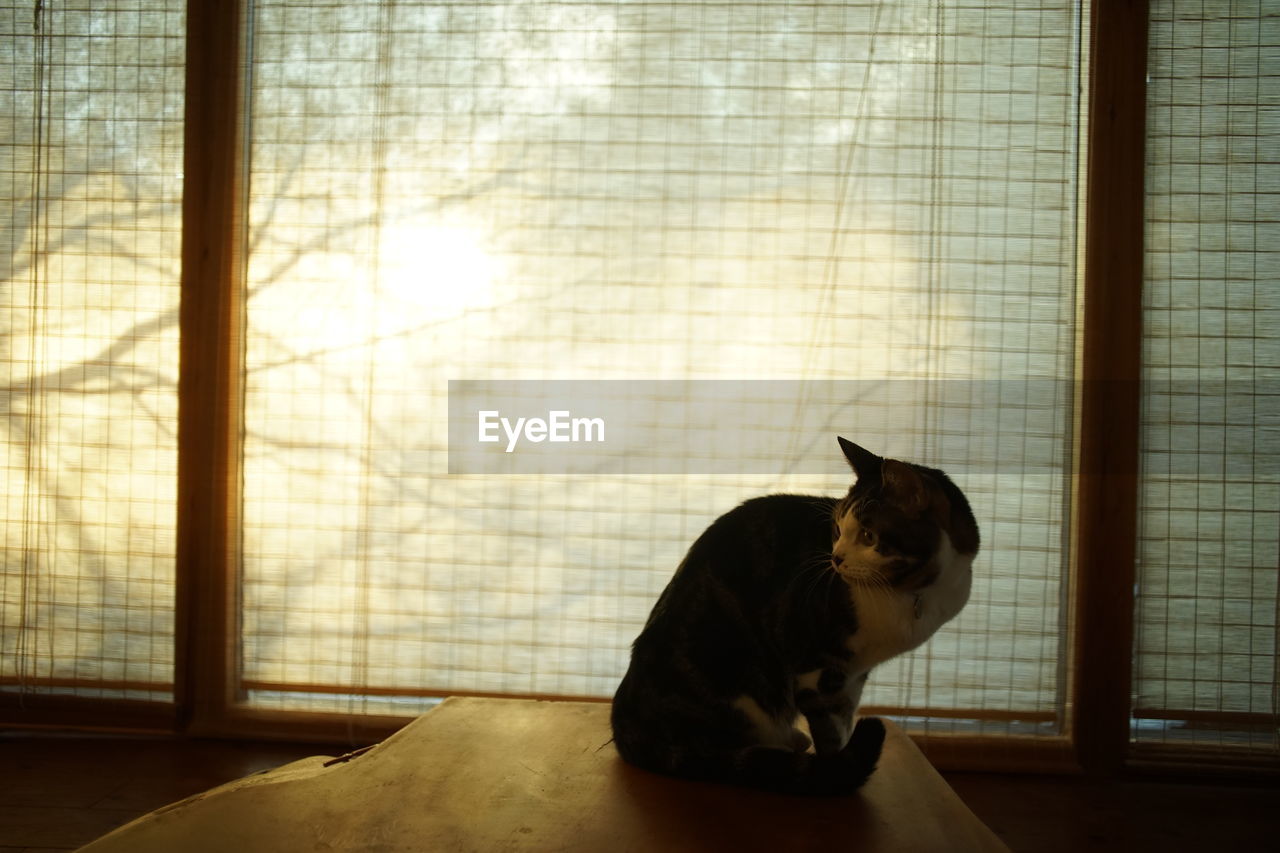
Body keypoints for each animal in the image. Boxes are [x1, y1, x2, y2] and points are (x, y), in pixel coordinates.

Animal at [609, 435, 977, 794]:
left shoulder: (854, 673)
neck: (912, 593)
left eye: (869, 536)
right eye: (837, 529)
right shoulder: (817, 667)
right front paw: (834, 769)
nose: (835, 558)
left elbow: (845, 718)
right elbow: (830, 730)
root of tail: (625, 723)